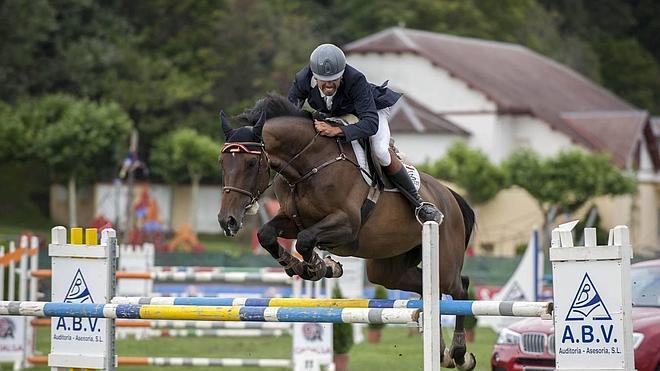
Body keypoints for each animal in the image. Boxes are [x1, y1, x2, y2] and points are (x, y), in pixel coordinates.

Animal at [219, 94, 476, 370]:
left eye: (251, 163)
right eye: (221, 162)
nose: (227, 220)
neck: (308, 164)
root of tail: (449, 195)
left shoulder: (346, 225)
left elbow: (305, 240)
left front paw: (320, 267)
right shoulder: (293, 220)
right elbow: (267, 234)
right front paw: (302, 265)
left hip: (444, 260)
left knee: (460, 288)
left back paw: (459, 354)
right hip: (388, 269)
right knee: (428, 290)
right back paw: (441, 352)